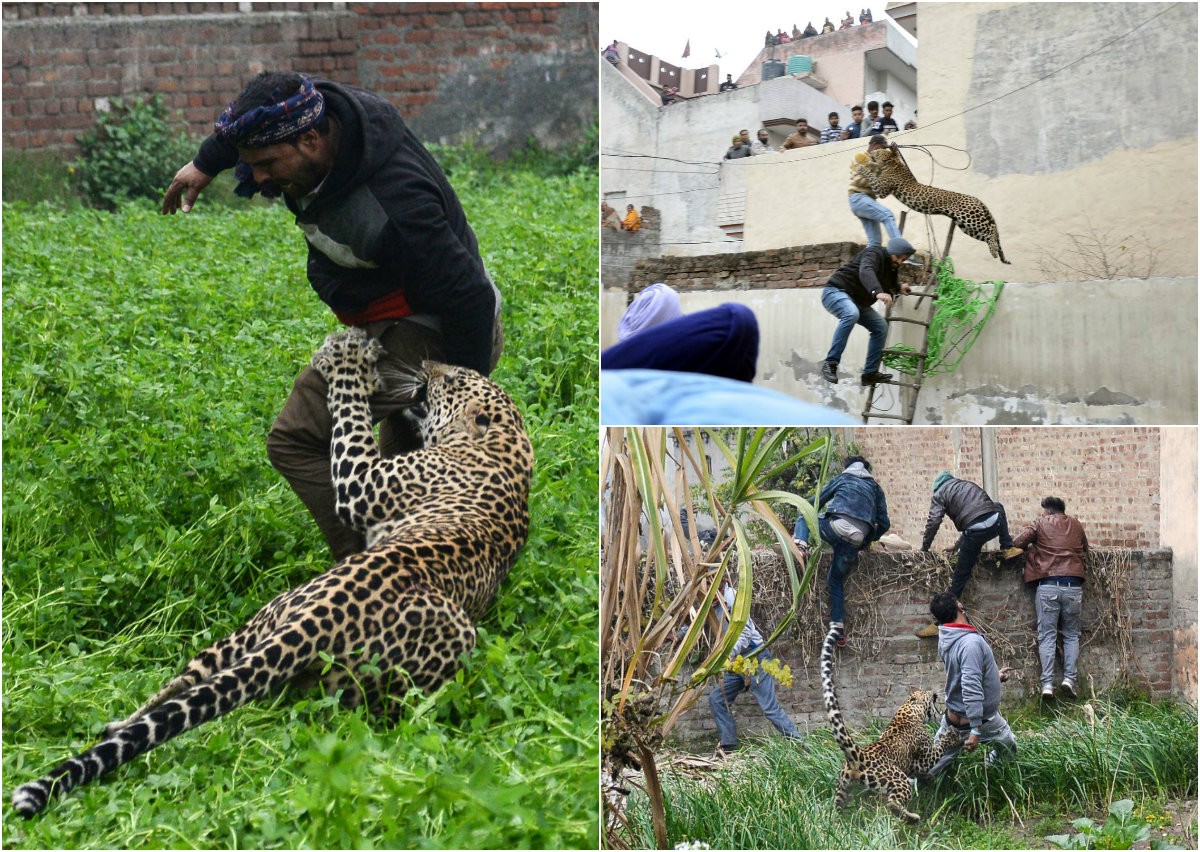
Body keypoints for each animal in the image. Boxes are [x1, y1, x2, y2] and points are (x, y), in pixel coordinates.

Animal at [11, 328, 532, 820]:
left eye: (451, 379)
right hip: (258, 628)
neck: (505, 441)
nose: (427, 364)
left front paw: (346, 363)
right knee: (184, 687)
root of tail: (313, 624)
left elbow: (349, 418)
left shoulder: (364, 482)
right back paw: (114, 725)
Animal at [820, 624, 960, 825]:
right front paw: (952, 736)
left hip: (843, 788)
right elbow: (939, 747)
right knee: (893, 803)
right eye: (925, 692)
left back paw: (836, 821)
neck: (908, 711)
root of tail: (858, 756)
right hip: (897, 779)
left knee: (836, 807)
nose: (933, 691)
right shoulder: (925, 756)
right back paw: (912, 818)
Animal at [854, 143, 1012, 265]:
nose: (870, 152)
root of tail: (976, 199)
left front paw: (861, 167)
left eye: (877, 151)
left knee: (991, 229)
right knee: (988, 234)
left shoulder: (881, 189)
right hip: (966, 226)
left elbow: (871, 176)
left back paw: (994, 251)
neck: (891, 163)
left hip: (970, 219)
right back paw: (997, 252)